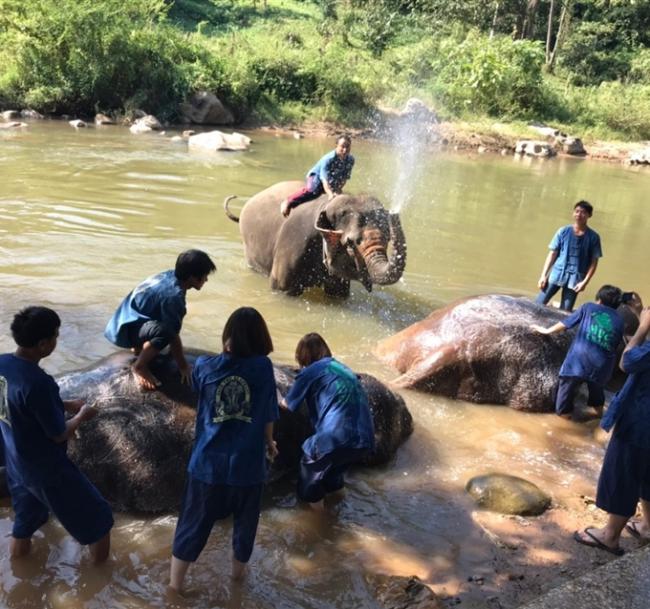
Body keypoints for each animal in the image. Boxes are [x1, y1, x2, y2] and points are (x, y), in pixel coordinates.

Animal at [224, 179, 404, 296]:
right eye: (350, 243)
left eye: (388, 239)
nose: (394, 214)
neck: (326, 206)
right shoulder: (294, 242)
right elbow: (281, 288)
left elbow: (338, 293)